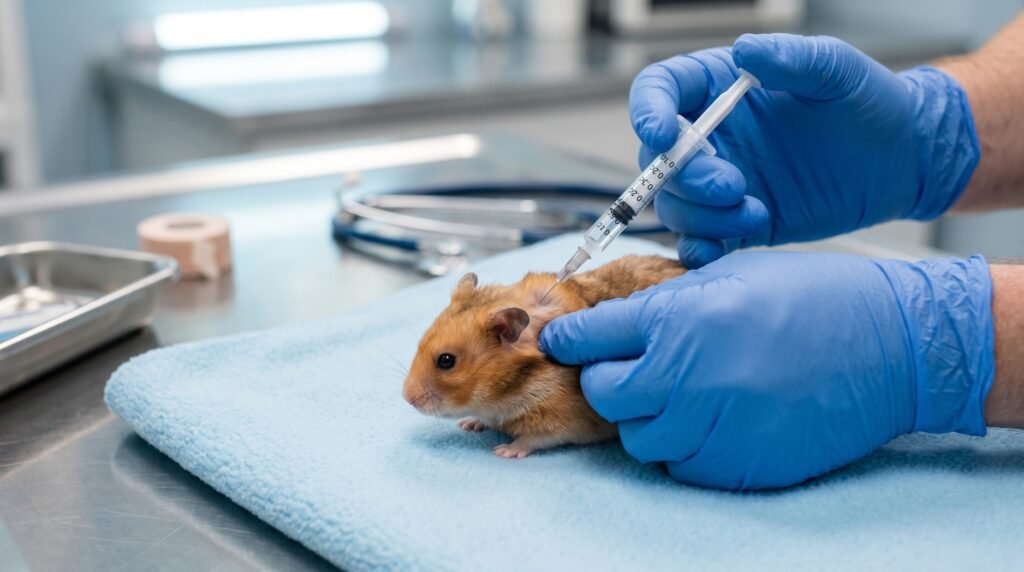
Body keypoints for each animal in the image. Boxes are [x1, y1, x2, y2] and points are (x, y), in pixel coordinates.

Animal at [403, 255, 685, 459]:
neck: (506, 392)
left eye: (446, 361)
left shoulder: (564, 422)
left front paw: (504, 451)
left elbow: (534, 439)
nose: (407, 398)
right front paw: (468, 424)